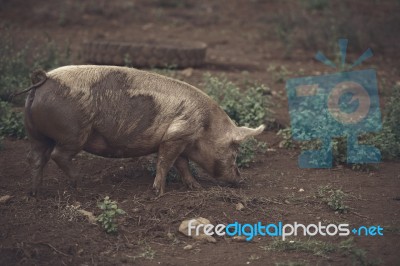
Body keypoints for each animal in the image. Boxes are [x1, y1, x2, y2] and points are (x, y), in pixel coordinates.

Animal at [23, 66, 264, 195]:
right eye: (235, 152)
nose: (241, 179)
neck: (206, 126)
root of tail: (42, 80)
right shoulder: (177, 134)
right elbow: (165, 162)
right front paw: (158, 192)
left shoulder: (179, 141)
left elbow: (182, 165)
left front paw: (196, 187)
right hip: (73, 133)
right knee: (58, 155)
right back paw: (80, 185)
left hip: (35, 133)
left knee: (36, 158)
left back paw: (36, 193)